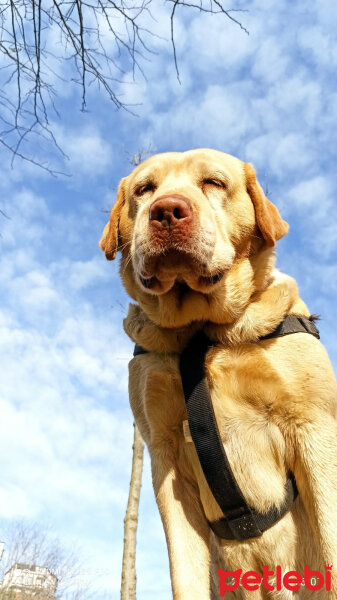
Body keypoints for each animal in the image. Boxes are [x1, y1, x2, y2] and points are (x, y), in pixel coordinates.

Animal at [98, 149, 334, 596]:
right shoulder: (165, 454)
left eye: (213, 182)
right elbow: (184, 573)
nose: (166, 211)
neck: (203, 332)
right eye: (144, 189)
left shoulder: (316, 428)